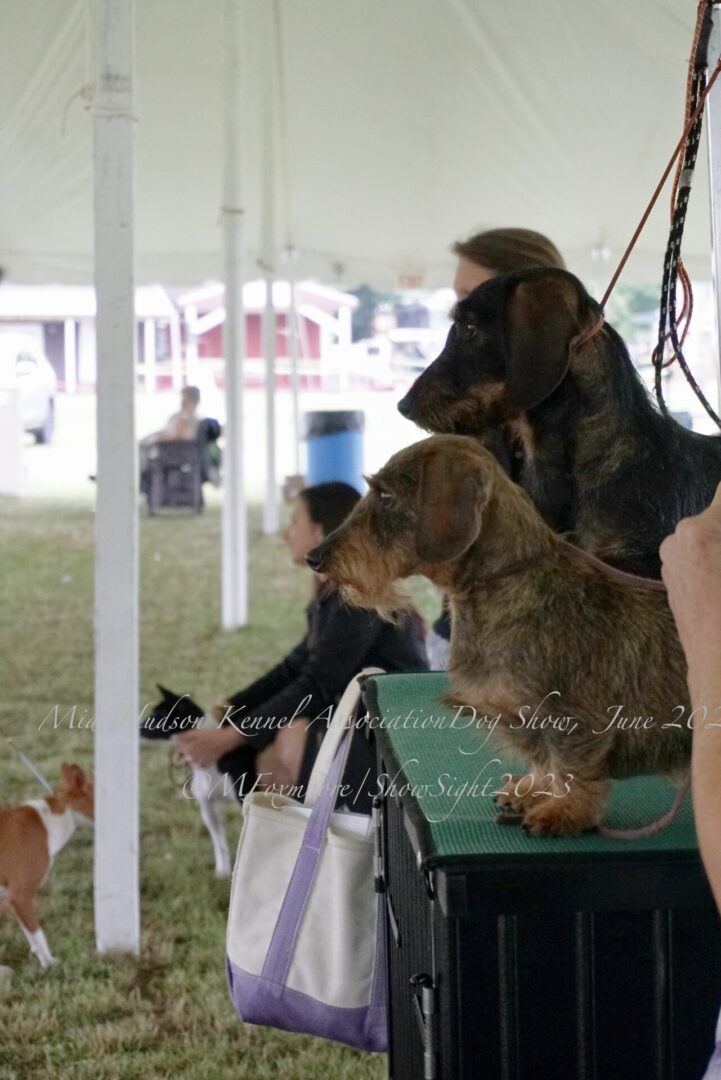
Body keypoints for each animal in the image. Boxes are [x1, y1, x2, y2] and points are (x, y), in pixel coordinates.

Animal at [306, 434, 690, 838]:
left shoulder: (570, 717)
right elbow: (544, 761)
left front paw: (566, 810)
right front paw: (535, 789)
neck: (506, 584)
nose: (314, 558)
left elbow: (571, 766)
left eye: (386, 495)